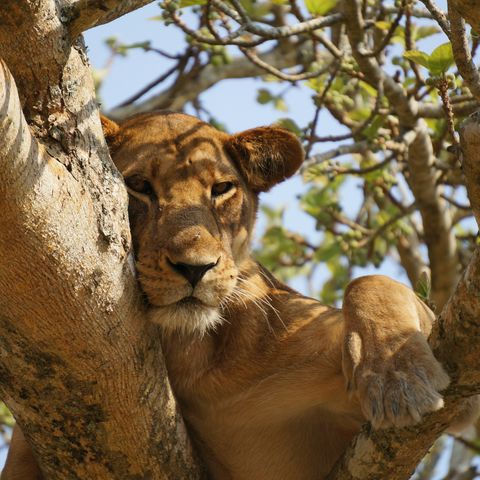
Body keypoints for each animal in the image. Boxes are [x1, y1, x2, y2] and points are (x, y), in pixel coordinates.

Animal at [0, 112, 468, 480]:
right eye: (138, 185)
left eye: (222, 188)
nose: (195, 267)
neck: (193, 356)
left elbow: (370, 283)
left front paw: (397, 375)